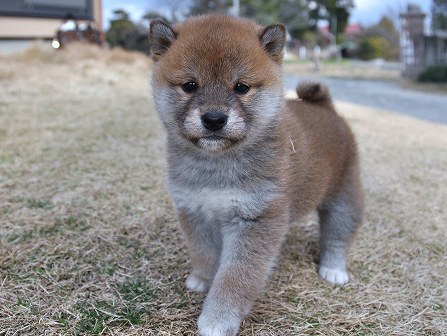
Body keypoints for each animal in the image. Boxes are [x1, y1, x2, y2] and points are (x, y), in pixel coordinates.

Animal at [149, 14, 366, 336]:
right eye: (189, 85)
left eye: (241, 87)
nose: (214, 119)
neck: (217, 165)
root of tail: (327, 109)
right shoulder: (195, 210)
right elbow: (204, 252)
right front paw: (203, 279)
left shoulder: (256, 219)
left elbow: (236, 278)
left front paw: (218, 319)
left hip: (344, 194)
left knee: (338, 234)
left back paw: (334, 269)